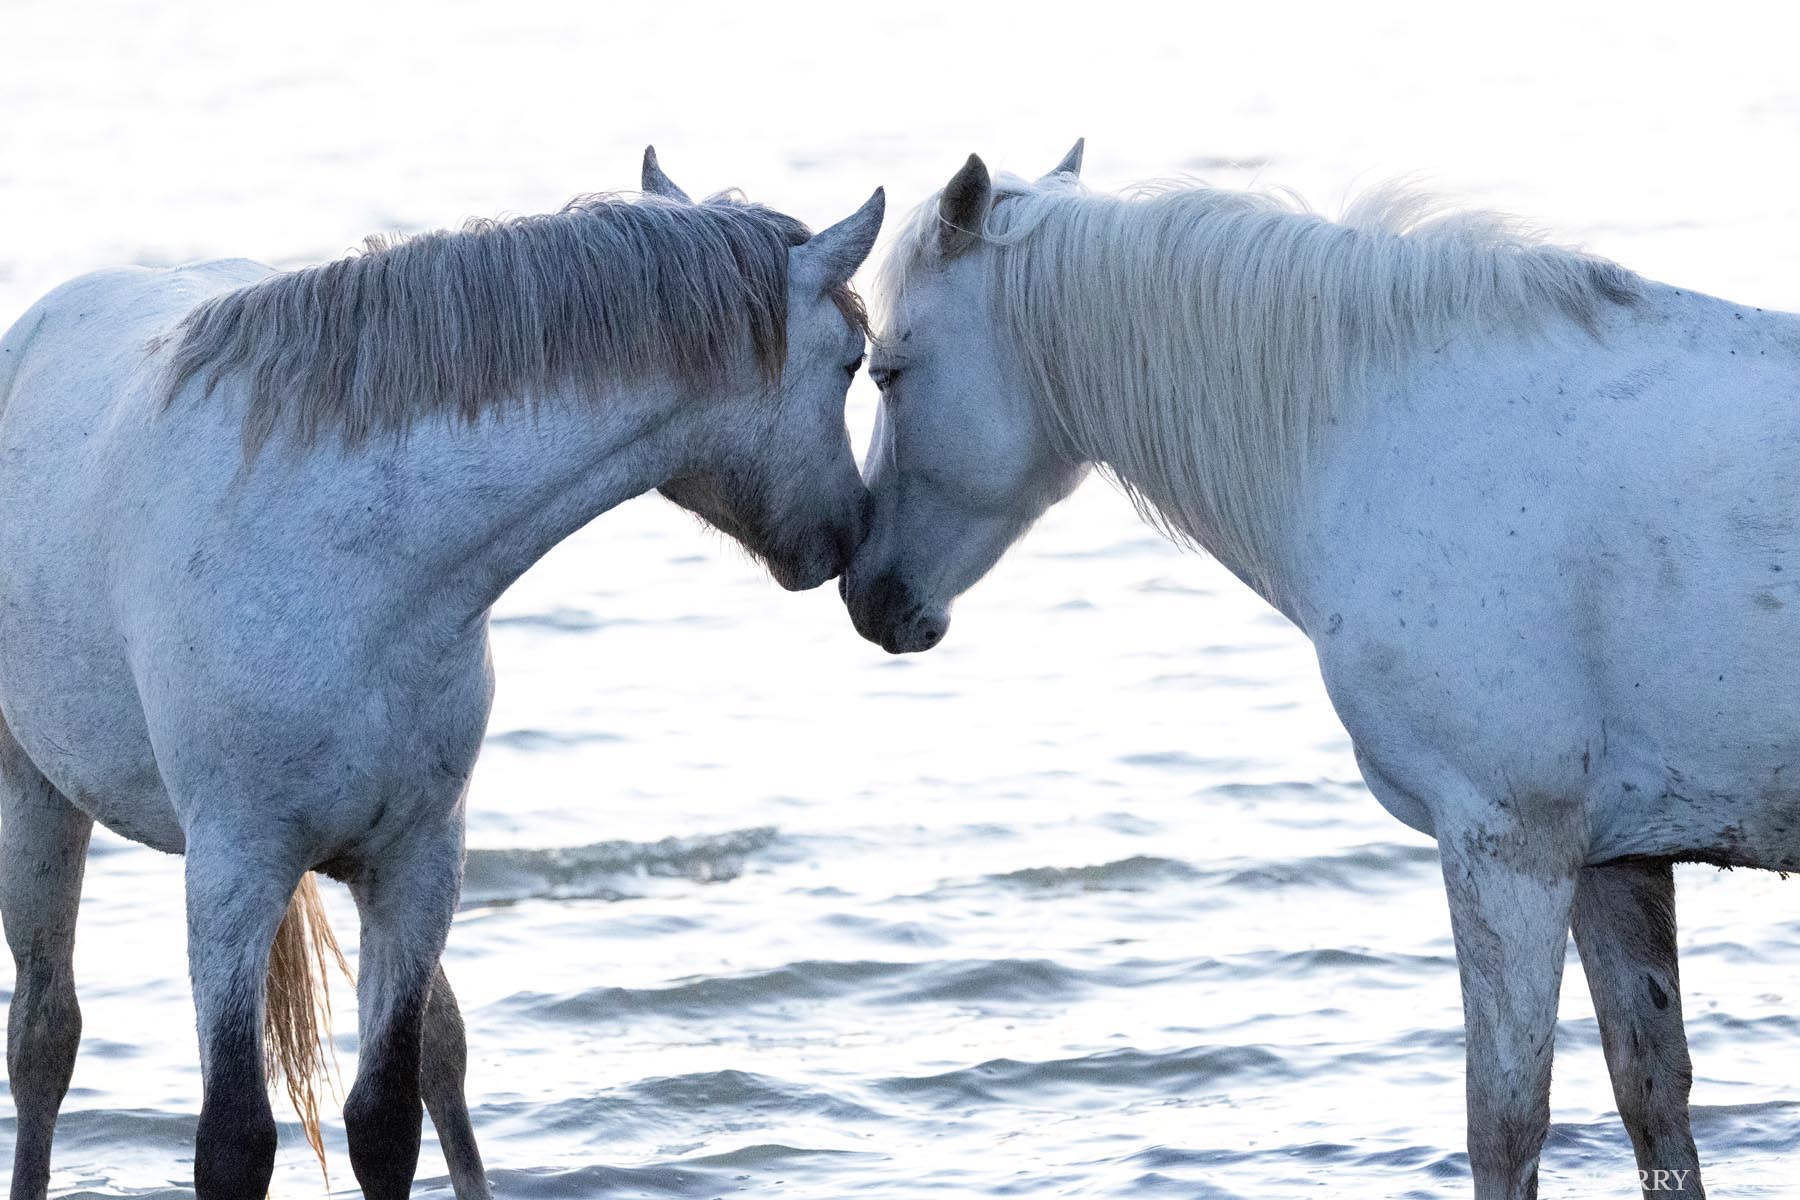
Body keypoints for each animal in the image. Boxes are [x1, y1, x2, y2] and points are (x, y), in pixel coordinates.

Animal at [0, 148, 882, 1200]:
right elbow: (233, 1140)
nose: (850, 533)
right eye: (855, 362)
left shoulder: (418, 862)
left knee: (441, 1054)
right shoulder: (234, 869)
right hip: (37, 799)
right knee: (43, 1040)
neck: (355, 561)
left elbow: (386, 1117)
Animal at [842, 140, 1800, 1199]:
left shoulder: (1509, 843)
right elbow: (1652, 1097)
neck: (1396, 433)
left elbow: (1504, 1122)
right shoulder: (1613, 855)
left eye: (886, 371)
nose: (865, 591)